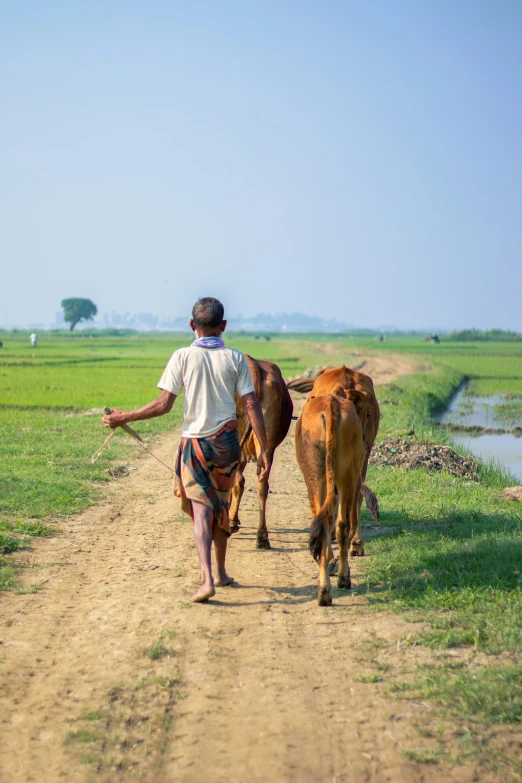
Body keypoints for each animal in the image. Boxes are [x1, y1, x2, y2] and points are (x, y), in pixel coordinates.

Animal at [294, 392, 368, 608]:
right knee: (341, 524)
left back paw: (326, 590)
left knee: (324, 523)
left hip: (316, 476)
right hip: (347, 476)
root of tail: (330, 404)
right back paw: (340, 580)